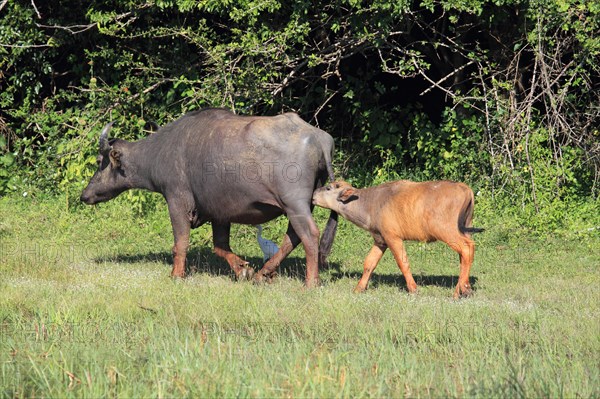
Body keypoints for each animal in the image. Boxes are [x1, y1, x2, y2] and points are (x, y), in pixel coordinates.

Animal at [81, 107, 338, 288]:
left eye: (99, 161)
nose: (84, 195)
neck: (161, 151)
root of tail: (318, 138)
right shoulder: (220, 213)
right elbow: (220, 246)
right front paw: (242, 269)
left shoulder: (177, 201)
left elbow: (181, 242)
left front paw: (176, 275)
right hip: (301, 206)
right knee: (292, 237)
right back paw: (263, 273)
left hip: (295, 205)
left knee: (308, 235)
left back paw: (310, 282)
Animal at [312, 180, 486, 298]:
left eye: (328, 187)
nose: (313, 194)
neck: (371, 203)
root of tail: (466, 189)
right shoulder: (380, 241)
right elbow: (369, 263)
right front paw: (359, 288)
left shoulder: (393, 238)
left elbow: (403, 263)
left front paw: (413, 289)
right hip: (465, 229)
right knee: (466, 253)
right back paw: (464, 288)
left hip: (447, 232)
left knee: (467, 248)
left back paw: (460, 290)